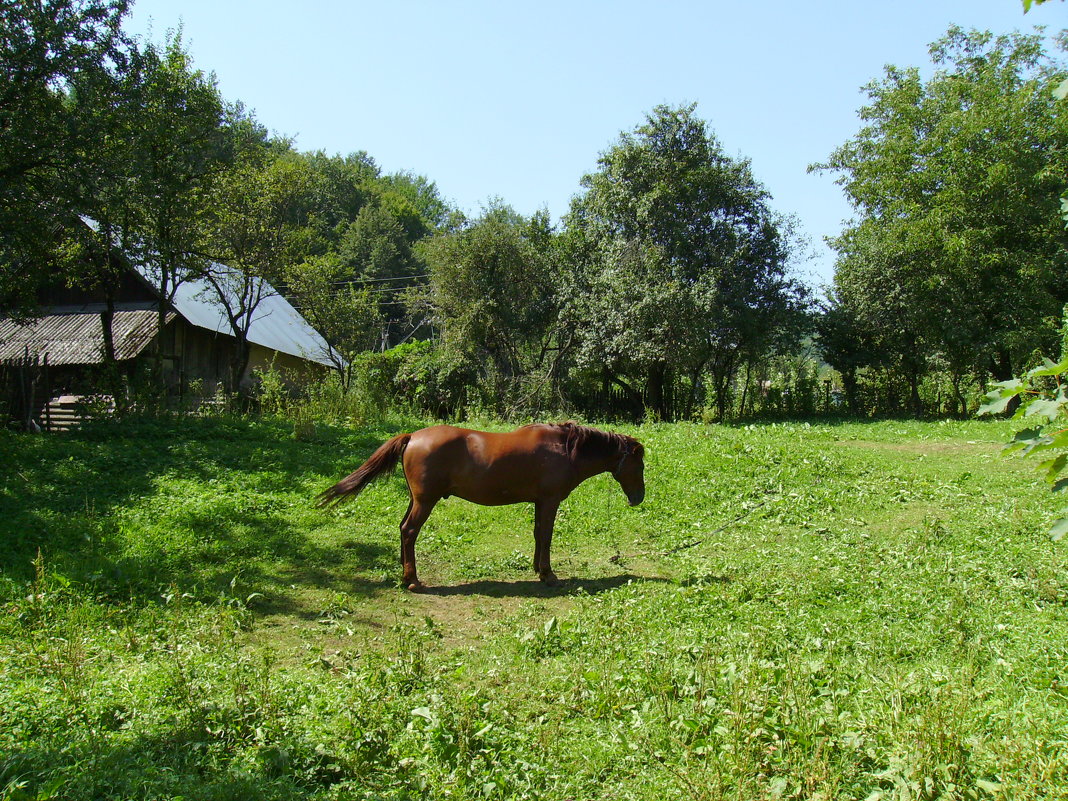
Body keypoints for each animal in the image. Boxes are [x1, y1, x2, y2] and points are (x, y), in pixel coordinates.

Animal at [316, 422, 645, 593]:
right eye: (639, 464)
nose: (638, 497)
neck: (563, 448)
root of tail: (413, 437)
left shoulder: (540, 502)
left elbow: (538, 535)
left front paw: (537, 569)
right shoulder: (550, 501)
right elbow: (547, 536)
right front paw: (548, 574)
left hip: (415, 499)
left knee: (402, 529)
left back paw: (404, 572)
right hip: (425, 501)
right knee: (409, 531)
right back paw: (413, 580)